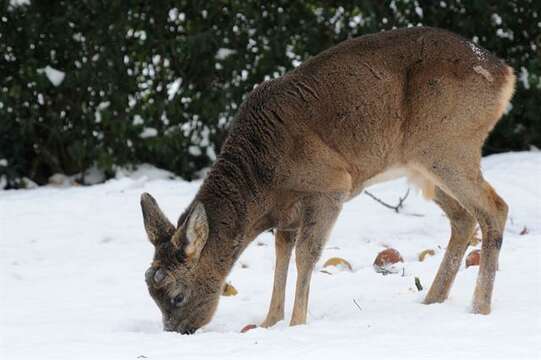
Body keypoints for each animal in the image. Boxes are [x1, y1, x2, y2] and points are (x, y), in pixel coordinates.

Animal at [139, 26, 516, 334]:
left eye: (176, 295)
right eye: (149, 290)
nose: (178, 331)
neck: (262, 184)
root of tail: (505, 74)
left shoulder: (330, 184)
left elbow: (306, 256)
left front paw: (296, 323)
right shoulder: (286, 214)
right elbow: (281, 256)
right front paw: (269, 321)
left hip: (448, 144)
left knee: (495, 208)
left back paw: (479, 308)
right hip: (422, 165)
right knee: (463, 217)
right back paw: (432, 300)